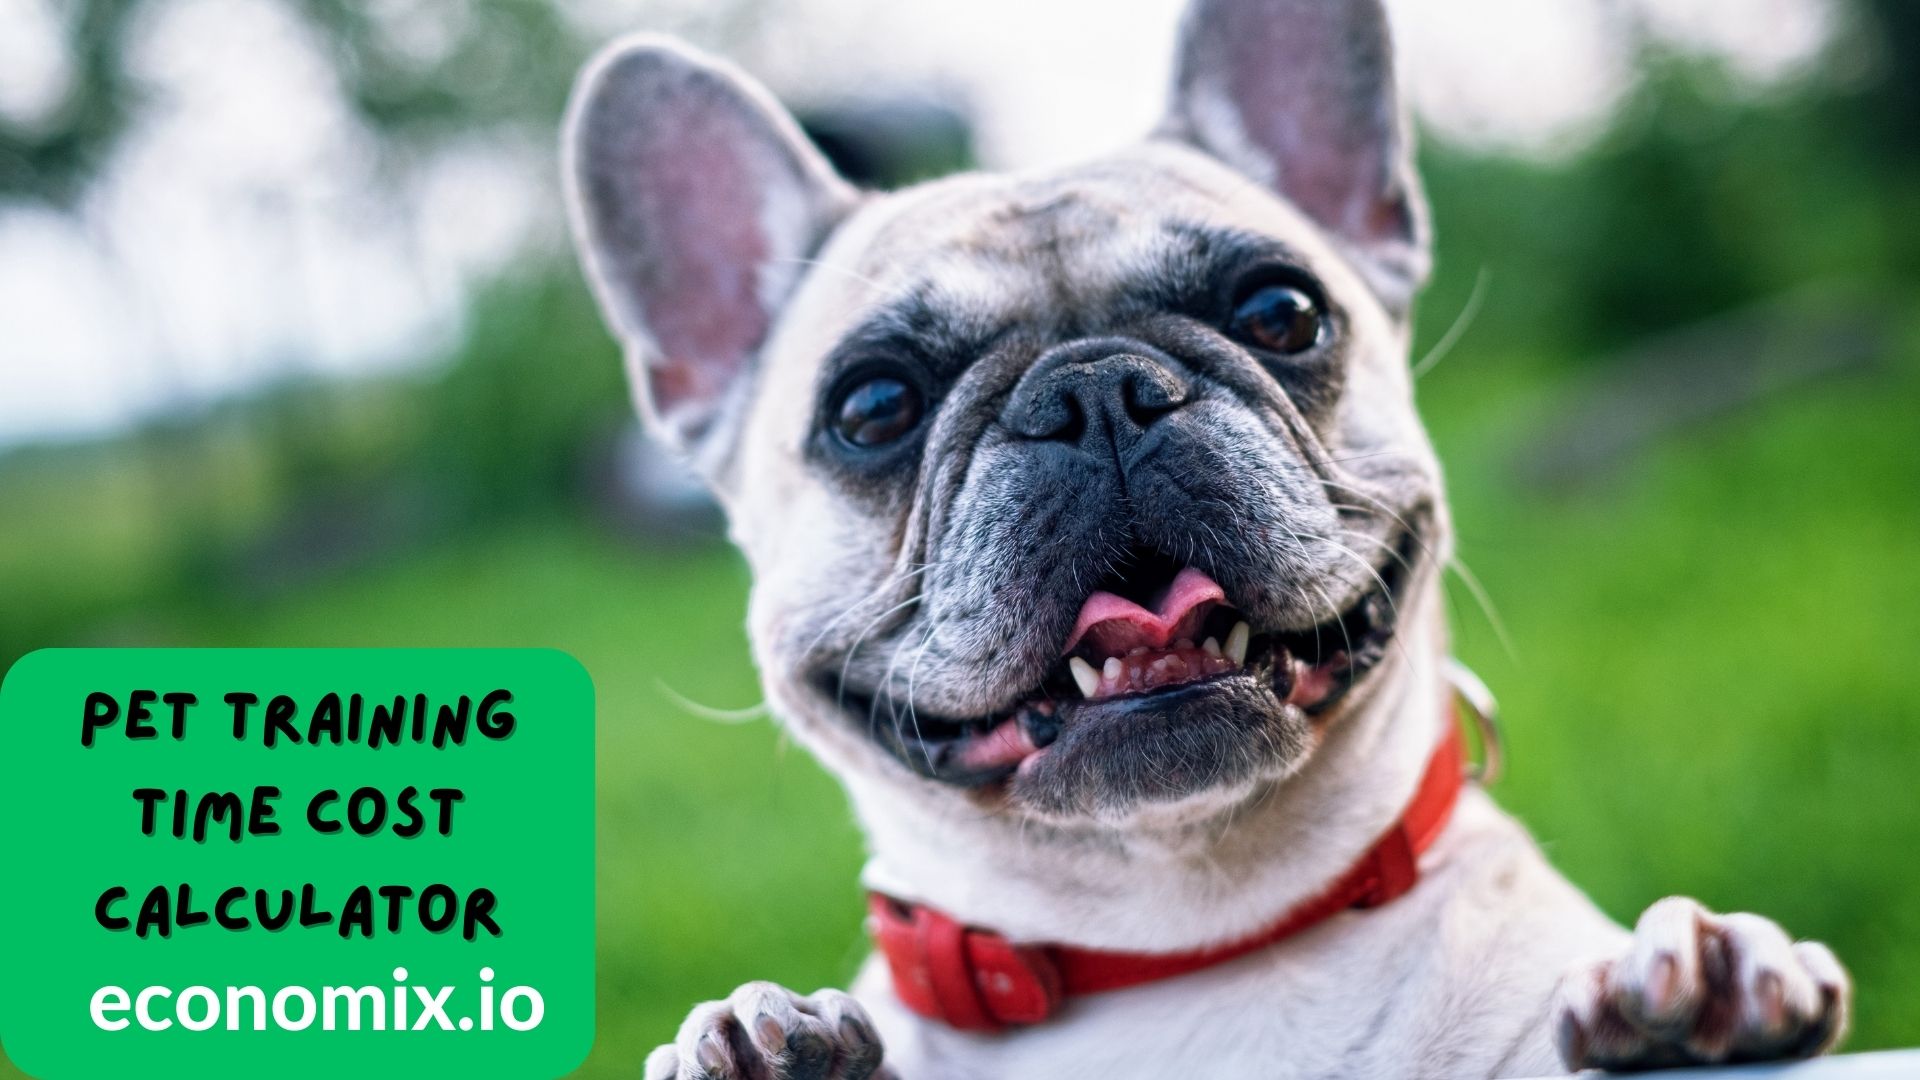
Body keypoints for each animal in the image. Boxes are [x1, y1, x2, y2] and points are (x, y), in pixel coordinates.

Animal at [560, 2, 1850, 1068]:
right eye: (873, 405)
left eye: (1280, 311)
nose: (1092, 391)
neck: (1178, 943)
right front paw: (750, 1046)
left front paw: (1711, 987)